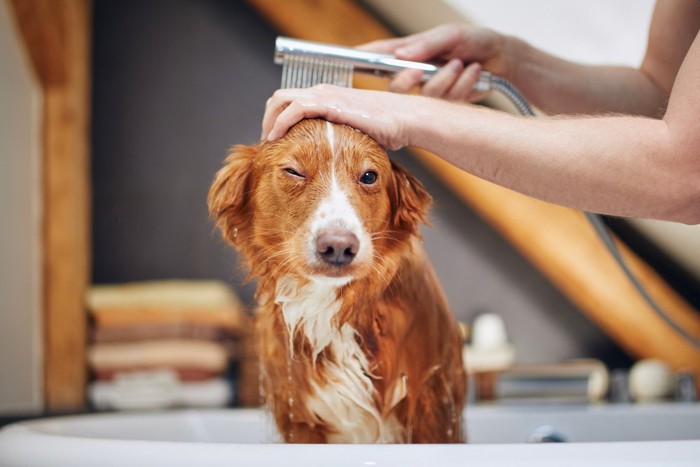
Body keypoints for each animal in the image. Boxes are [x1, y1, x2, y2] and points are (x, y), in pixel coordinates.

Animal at [206, 119, 464, 444]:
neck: (330, 307)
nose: (338, 246)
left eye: (369, 176)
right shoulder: (299, 419)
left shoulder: (431, 406)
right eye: (294, 171)